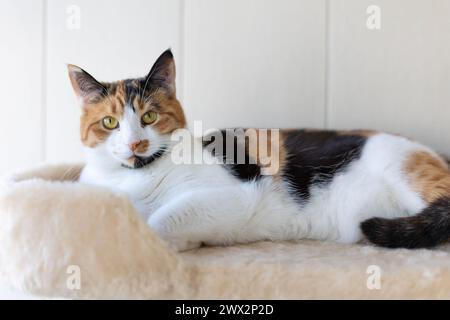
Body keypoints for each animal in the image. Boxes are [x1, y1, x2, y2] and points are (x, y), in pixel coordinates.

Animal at [68, 48, 450, 251]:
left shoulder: (233, 196)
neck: (138, 178)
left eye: (149, 116)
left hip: (404, 170)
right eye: (110, 123)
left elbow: (161, 220)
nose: (136, 143)